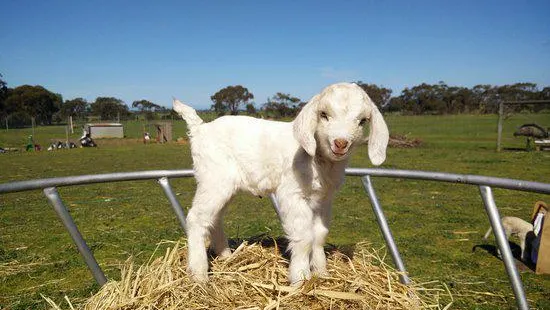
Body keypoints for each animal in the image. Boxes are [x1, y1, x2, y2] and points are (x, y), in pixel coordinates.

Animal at [175, 81, 390, 284]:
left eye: (362, 121)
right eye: (323, 114)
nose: (340, 143)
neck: (318, 160)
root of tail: (200, 129)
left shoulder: (324, 199)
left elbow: (319, 235)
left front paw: (321, 272)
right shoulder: (292, 194)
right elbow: (304, 237)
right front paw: (300, 279)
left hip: (226, 187)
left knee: (214, 218)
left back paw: (226, 256)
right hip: (214, 179)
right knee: (196, 218)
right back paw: (199, 275)